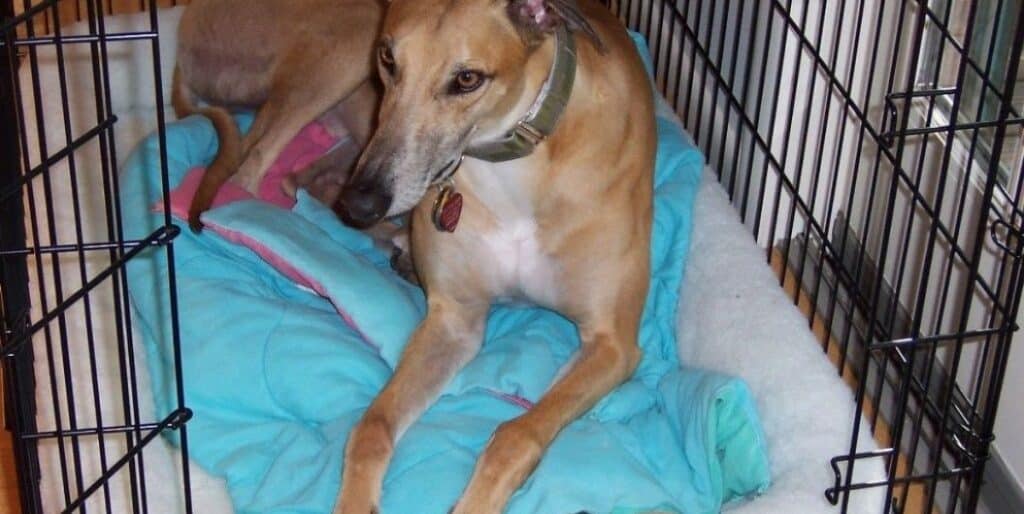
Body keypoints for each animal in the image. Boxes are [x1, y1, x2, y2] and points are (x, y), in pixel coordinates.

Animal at [335, 1, 655, 514]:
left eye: (467, 79)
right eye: (387, 57)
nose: (359, 203)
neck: (514, 172)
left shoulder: (612, 344)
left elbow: (516, 434)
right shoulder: (453, 321)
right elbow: (371, 426)